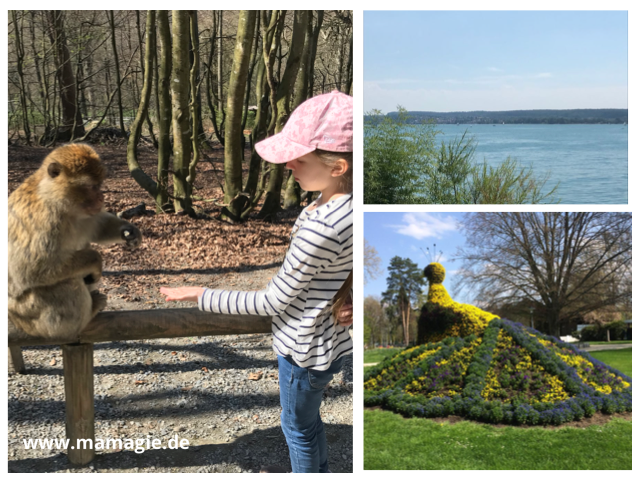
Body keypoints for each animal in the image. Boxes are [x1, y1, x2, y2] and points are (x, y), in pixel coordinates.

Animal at [8, 142, 142, 338]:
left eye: (99, 185)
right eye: (91, 186)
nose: (102, 197)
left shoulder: (83, 213)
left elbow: (96, 227)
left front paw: (129, 231)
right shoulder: (46, 221)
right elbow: (29, 270)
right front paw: (96, 260)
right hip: (28, 313)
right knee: (66, 283)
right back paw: (86, 316)